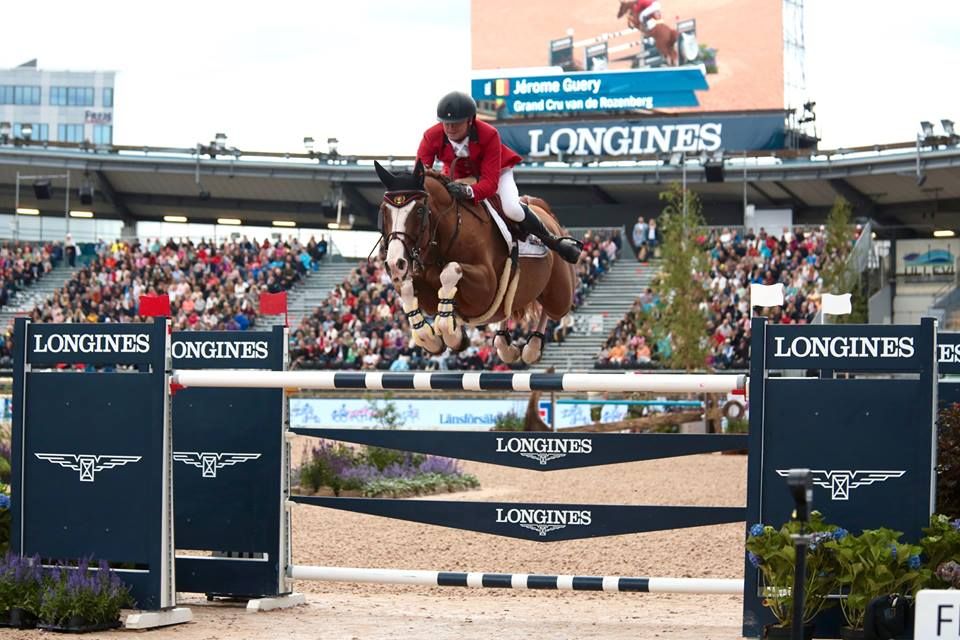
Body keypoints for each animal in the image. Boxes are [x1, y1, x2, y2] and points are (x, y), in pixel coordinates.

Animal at [372, 160, 572, 364]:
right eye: (383, 211)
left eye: (419, 210)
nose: (395, 264)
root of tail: (546, 212)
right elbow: (406, 287)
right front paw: (436, 339)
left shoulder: (486, 289)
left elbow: (450, 270)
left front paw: (453, 335)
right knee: (508, 307)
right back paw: (505, 346)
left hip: (560, 295)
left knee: (552, 309)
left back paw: (533, 347)